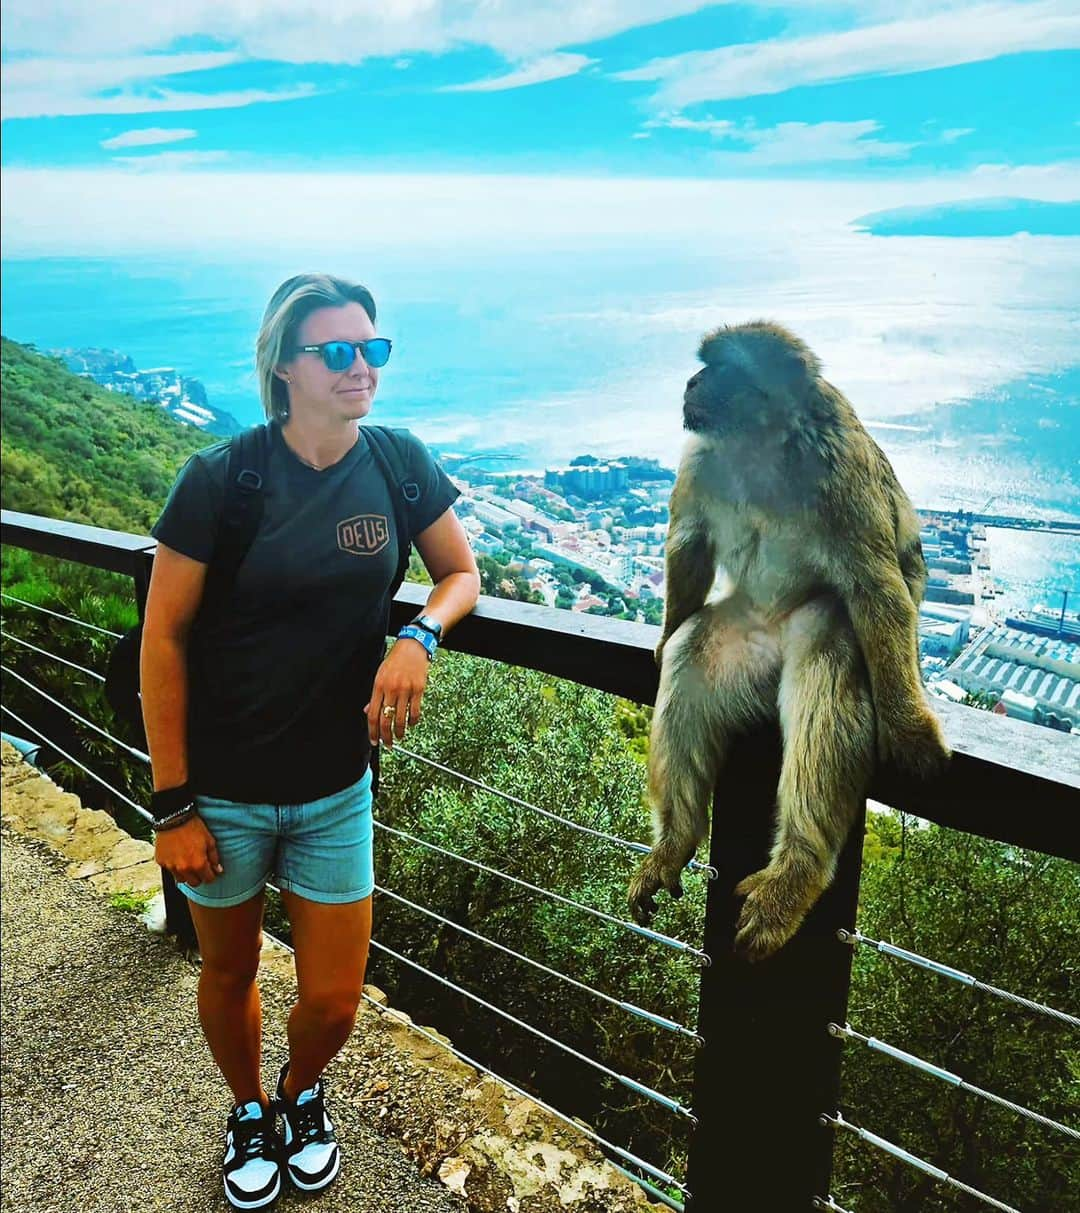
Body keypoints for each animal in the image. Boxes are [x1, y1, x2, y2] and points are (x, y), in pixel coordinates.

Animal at [626, 325, 946, 965]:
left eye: (722, 366)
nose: (692, 381)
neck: (761, 447)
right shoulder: (700, 460)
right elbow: (688, 545)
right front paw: (663, 634)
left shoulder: (842, 473)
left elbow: (879, 591)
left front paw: (909, 729)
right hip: (741, 649)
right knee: (693, 652)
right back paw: (676, 839)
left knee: (832, 630)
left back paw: (796, 871)